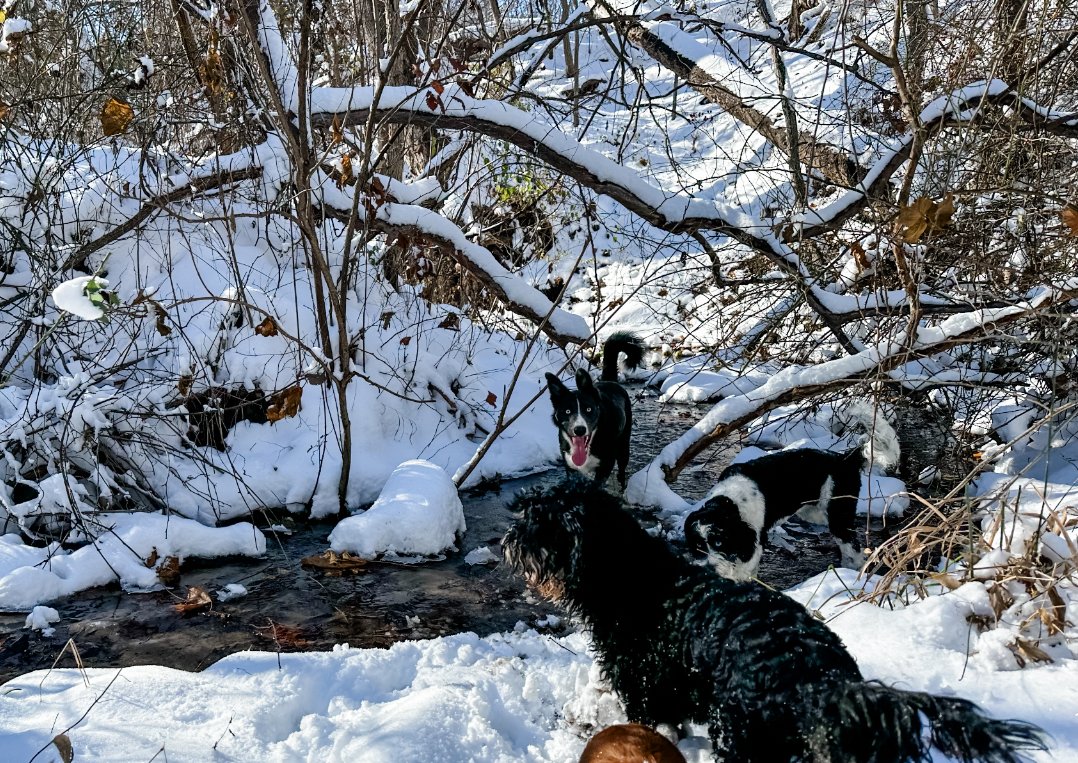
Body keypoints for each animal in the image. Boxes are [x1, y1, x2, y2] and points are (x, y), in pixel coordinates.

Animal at [502, 484, 1043, 758]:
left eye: (535, 521)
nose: (508, 542)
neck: (632, 577)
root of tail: (821, 678)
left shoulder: (642, 686)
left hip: (738, 732)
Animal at [547, 334, 638, 489]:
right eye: (567, 411)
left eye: (588, 409)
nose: (579, 430)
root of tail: (609, 381)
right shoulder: (570, 468)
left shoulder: (605, 465)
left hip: (623, 446)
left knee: (622, 470)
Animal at [681, 398, 901, 577]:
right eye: (697, 546)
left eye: (718, 542)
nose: (709, 569)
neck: (730, 501)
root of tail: (845, 458)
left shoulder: (752, 542)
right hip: (815, 513)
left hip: (838, 513)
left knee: (853, 549)